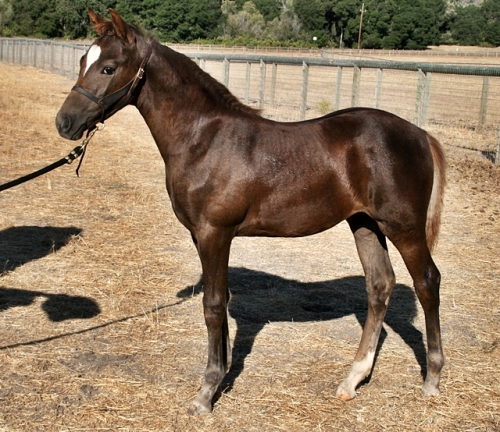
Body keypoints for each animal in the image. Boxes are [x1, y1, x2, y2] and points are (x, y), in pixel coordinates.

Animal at [54, 9, 446, 416]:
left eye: (109, 67)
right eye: (83, 60)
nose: (65, 123)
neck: (203, 139)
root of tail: (421, 135)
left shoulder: (214, 232)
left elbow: (212, 306)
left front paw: (206, 392)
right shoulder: (202, 235)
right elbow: (222, 301)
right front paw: (221, 377)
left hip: (403, 227)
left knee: (427, 282)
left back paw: (432, 378)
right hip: (366, 223)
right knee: (380, 284)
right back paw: (352, 380)